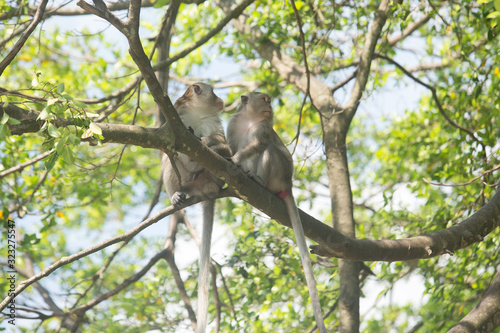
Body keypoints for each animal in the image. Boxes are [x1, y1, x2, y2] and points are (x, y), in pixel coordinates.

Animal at [162, 82, 230, 332]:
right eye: (215, 92)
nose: (221, 100)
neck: (199, 113)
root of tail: (207, 190)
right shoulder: (176, 121)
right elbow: (167, 148)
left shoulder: (214, 124)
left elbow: (220, 141)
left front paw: (206, 141)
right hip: (187, 182)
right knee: (170, 162)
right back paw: (177, 195)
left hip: (212, 177)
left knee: (222, 153)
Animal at [227, 91, 328, 332]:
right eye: (264, 99)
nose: (270, 106)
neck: (250, 119)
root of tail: (288, 185)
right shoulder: (233, 123)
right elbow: (236, 145)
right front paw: (233, 158)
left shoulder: (263, 127)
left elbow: (258, 144)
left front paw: (235, 159)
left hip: (281, 173)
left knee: (270, 149)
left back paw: (259, 181)